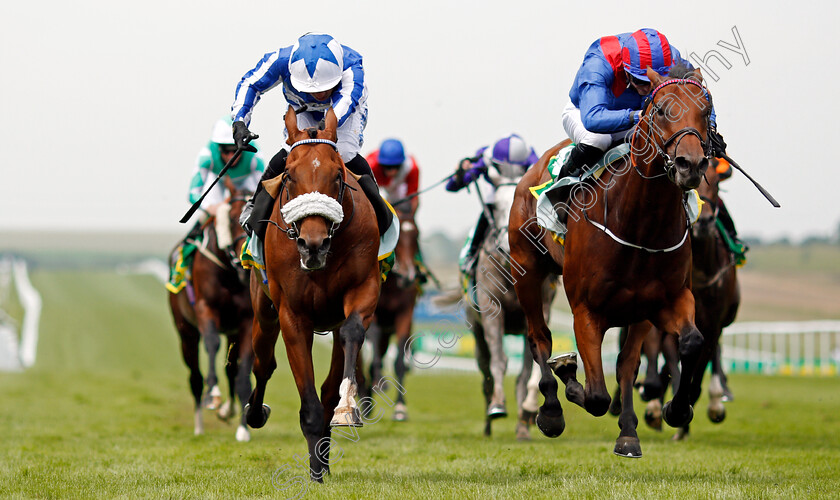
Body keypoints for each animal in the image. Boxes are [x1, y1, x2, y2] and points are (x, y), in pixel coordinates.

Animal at [167, 179, 253, 442]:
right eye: (233, 217)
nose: (245, 257)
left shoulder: (247, 321)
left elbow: (243, 374)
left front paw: (243, 429)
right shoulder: (207, 310)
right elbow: (212, 343)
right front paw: (212, 393)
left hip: (231, 331)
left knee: (232, 369)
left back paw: (229, 410)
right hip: (186, 332)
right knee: (194, 377)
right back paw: (199, 425)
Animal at [246, 107, 380, 482]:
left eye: (337, 175)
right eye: (290, 176)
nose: (313, 244)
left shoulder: (363, 289)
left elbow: (353, 332)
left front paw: (347, 409)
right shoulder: (292, 315)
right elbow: (308, 402)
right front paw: (315, 473)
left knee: (330, 380)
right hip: (264, 312)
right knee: (263, 362)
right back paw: (254, 414)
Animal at [508, 66, 712, 458]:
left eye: (706, 110)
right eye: (660, 110)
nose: (690, 164)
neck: (639, 225)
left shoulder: (665, 301)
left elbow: (685, 344)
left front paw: (670, 412)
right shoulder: (586, 310)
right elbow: (596, 396)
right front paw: (569, 378)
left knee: (626, 364)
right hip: (527, 271)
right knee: (538, 337)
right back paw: (551, 409)